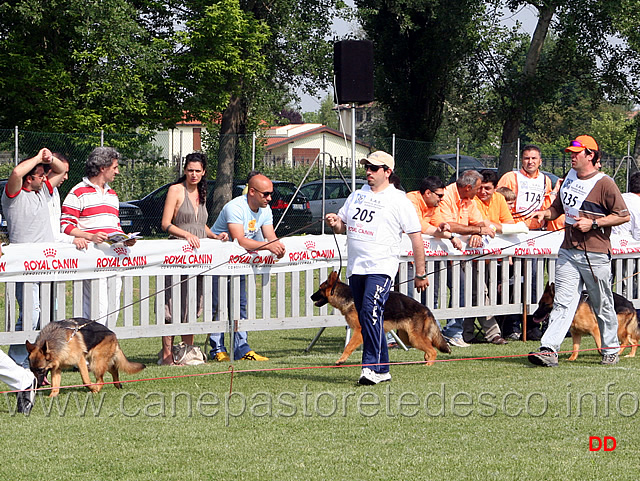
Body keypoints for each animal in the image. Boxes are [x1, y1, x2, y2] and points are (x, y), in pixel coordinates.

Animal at [310, 270, 450, 364]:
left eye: (320, 289)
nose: (311, 297)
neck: (347, 297)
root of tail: (426, 309)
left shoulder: (359, 331)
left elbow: (348, 346)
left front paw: (341, 360)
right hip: (408, 338)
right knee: (429, 345)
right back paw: (426, 358)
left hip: (414, 338)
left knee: (433, 350)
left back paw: (429, 363)